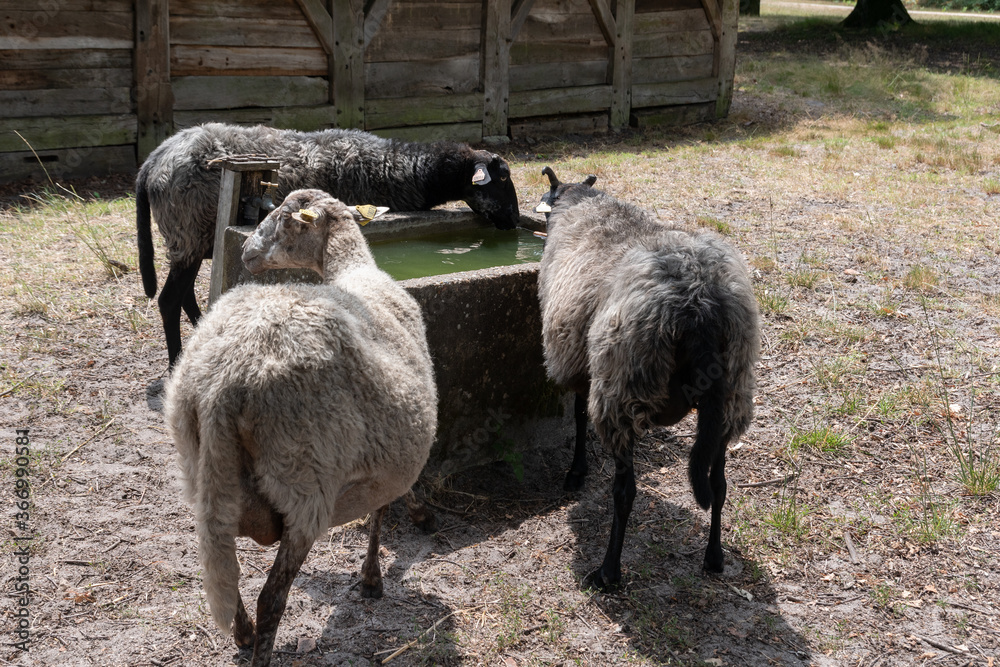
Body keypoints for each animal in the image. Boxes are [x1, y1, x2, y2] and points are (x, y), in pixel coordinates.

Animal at [137, 122, 521, 368]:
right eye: (502, 178)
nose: (515, 220)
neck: (402, 168)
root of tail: (154, 159)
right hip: (187, 232)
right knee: (169, 300)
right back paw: (175, 363)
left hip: (190, 239)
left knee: (185, 295)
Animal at [163, 189, 437, 666]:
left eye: (284, 220)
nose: (246, 253)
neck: (356, 272)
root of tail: (223, 383)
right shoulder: (385, 462)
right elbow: (382, 510)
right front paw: (374, 576)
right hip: (305, 486)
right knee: (270, 598)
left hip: (203, 472)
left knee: (227, 573)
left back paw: (243, 634)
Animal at [534, 168, 759, 590]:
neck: (585, 203)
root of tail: (699, 300)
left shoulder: (579, 363)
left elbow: (578, 416)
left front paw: (576, 472)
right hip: (731, 394)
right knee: (718, 485)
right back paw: (714, 557)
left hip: (621, 389)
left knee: (625, 491)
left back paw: (608, 571)